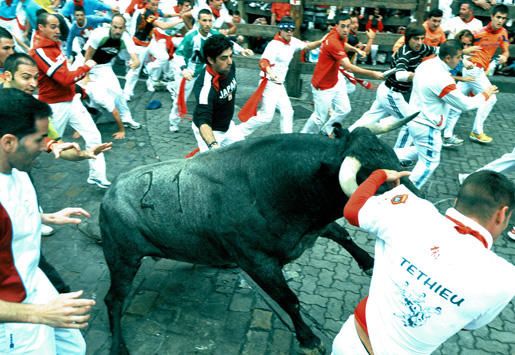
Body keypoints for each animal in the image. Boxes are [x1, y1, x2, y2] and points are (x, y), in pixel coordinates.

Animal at [99, 127, 418, 354]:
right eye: (372, 181)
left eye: (394, 158)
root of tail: (110, 193)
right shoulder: (259, 263)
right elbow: (290, 301)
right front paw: (308, 338)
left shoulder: (310, 229)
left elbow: (342, 234)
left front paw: (368, 261)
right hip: (122, 259)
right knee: (113, 299)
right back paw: (118, 346)